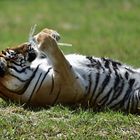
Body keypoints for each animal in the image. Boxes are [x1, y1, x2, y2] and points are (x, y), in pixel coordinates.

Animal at [0, 27, 140, 114]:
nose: (27, 44)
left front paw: (49, 32)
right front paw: (42, 36)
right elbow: (58, 56)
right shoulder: (73, 85)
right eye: (14, 53)